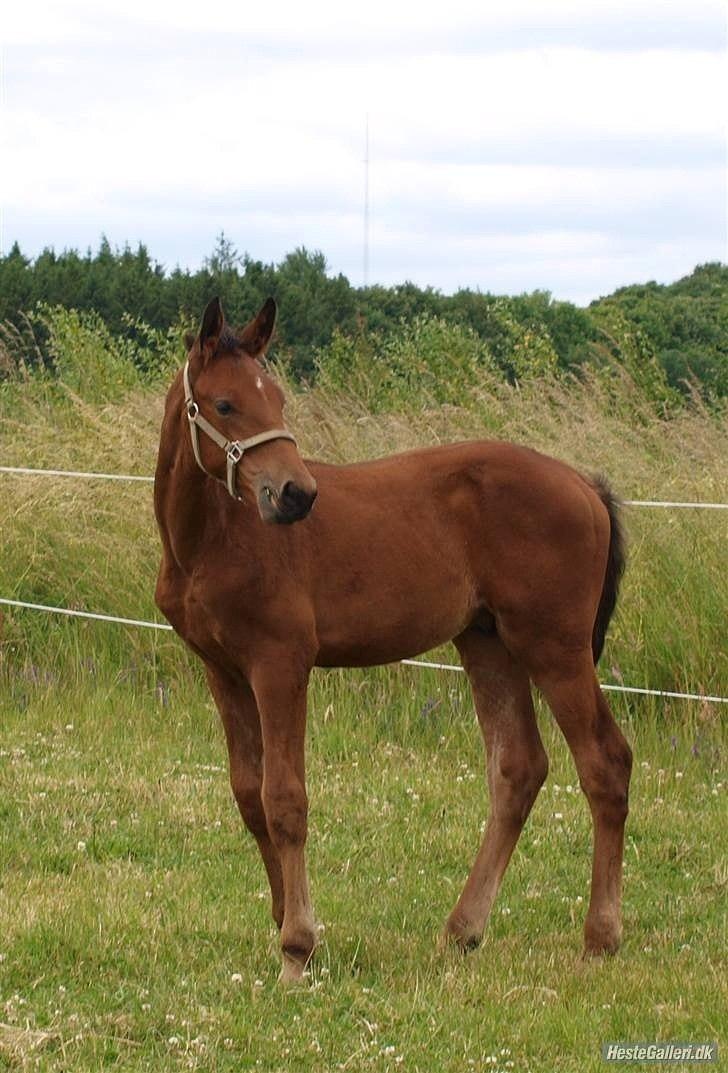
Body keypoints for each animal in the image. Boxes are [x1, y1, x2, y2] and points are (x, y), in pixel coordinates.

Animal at [153, 298, 631, 982]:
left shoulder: (280, 664)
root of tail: (584, 485)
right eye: (223, 404)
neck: (216, 538)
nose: (295, 494)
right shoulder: (223, 670)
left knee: (604, 764)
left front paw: (298, 946)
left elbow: (285, 798)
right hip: (487, 644)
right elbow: (249, 797)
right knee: (518, 769)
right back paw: (463, 930)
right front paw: (282, 918)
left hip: (554, 648)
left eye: (279, 400)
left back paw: (599, 938)